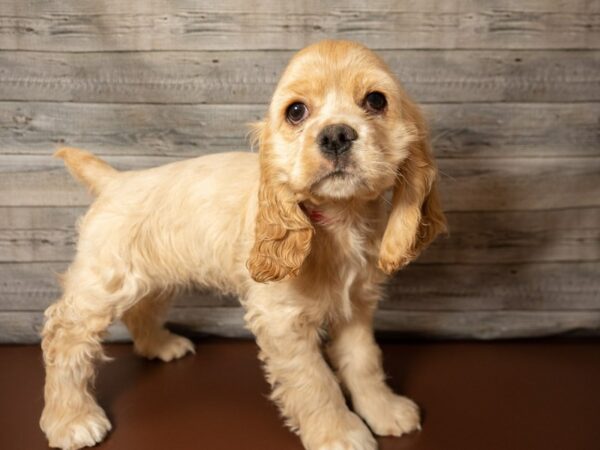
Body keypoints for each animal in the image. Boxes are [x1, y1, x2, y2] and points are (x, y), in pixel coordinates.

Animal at [39, 40, 446, 448]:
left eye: (376, 100)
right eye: (296, 111)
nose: (336, 136)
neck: (339, 220)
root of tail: (114, 181)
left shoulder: (356, 305)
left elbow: (364, 360)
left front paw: (384, 410)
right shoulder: (282, 320)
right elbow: (315, 381)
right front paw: (339, 433)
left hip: (154, 277)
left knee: (141, 309)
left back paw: (160, 345)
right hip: (104, 283)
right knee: (64, 338)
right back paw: (71, 420)